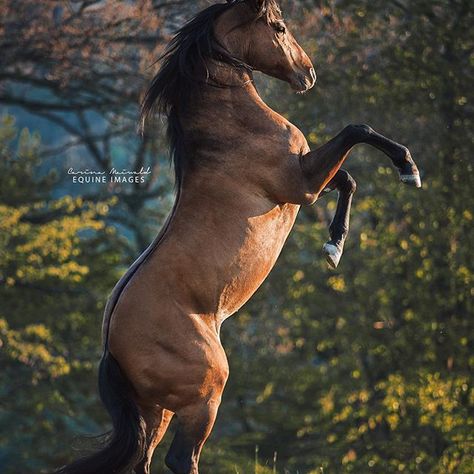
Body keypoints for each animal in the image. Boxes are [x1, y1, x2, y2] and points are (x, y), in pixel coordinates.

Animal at [57, 0, 420, 474]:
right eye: (279, 26)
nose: (308, 73)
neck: (231, 127)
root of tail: (109, 350)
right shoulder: (300, 182)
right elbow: (357, 133)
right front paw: (407, 168)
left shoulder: (307, 179)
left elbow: (348, 178)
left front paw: (334, 246)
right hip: (205, 395)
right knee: (182, 458)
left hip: (157, 410)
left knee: (144, 461)